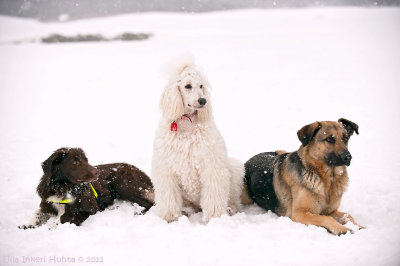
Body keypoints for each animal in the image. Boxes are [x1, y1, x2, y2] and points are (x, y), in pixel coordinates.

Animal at [19, 148, 155, 229]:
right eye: (75, 162)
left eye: (86, 160)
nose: (96, 172)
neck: (63, 187)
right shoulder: (48, 204)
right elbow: (37, 212)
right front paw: (27, 224)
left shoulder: (90, 210)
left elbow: (66, 216)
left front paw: (53, 223)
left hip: (122, 184)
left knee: (150, 204)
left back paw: (139, 212)